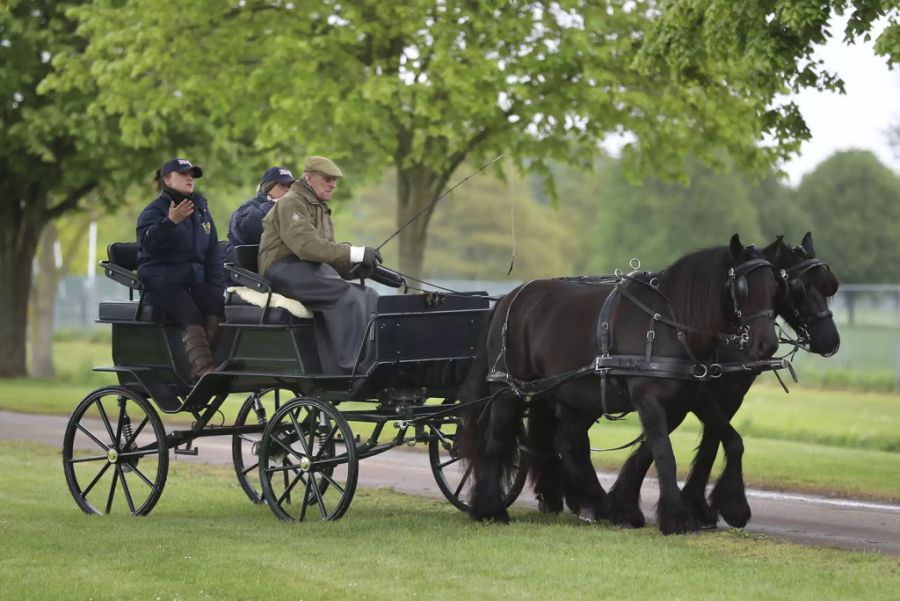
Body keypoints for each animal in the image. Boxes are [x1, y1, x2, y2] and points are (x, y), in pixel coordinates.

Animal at [460, 232, 784, 532]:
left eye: (775, 287)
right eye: (743, 288)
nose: (766, 344)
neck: (672, 324)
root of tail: (508, 299)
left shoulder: (693, 397)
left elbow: (729, 440)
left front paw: (733, 508)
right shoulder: (649, 399)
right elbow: (664, 454)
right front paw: (677, 518)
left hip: (572, 393)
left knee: (569, 443)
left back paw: (600, 505)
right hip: (508, 389)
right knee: (495, 442)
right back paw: (490, 509)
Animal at [608, 232, 840, 528]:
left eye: (827, 286)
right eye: (798, 288)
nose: (831, 340)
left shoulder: (727, 396)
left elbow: (710, 441)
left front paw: (697, 505)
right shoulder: (693, 395)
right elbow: (664, 443)